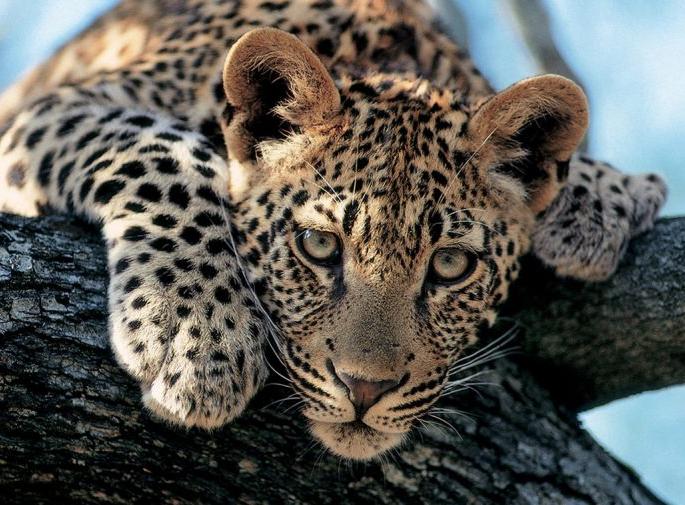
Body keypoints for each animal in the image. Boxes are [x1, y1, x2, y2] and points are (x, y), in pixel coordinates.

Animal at [0, 0, 666, 460]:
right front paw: (196, 334)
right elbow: (167, 154)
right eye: (318, 246)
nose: (365, 391)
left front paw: (603, 195)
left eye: (451, 264)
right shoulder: (58, 109)